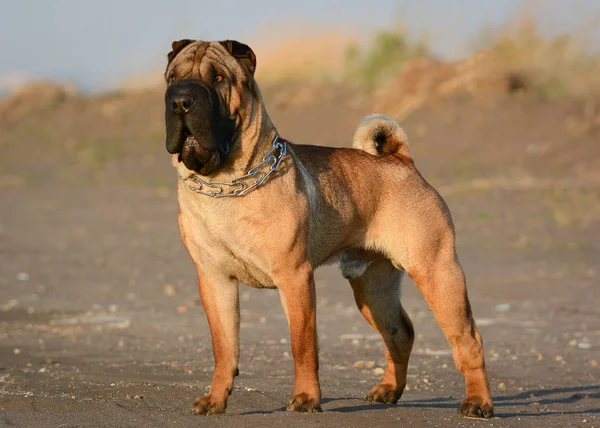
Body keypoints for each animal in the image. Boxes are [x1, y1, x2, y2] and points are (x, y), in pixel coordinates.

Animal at [163, 39, 492, 418]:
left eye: (218, 78)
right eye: (172, 78)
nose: (180, 100)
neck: (226, 182)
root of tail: (401, 160)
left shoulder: (294, 277)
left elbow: (303, 345)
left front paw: (306, 399)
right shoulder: (214, 279)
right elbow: (224, 347)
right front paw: (215, 399)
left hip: (437, 272)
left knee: (468, 339)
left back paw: (478, 402)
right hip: (373, 289)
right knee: (400, 333)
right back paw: (387, 391)